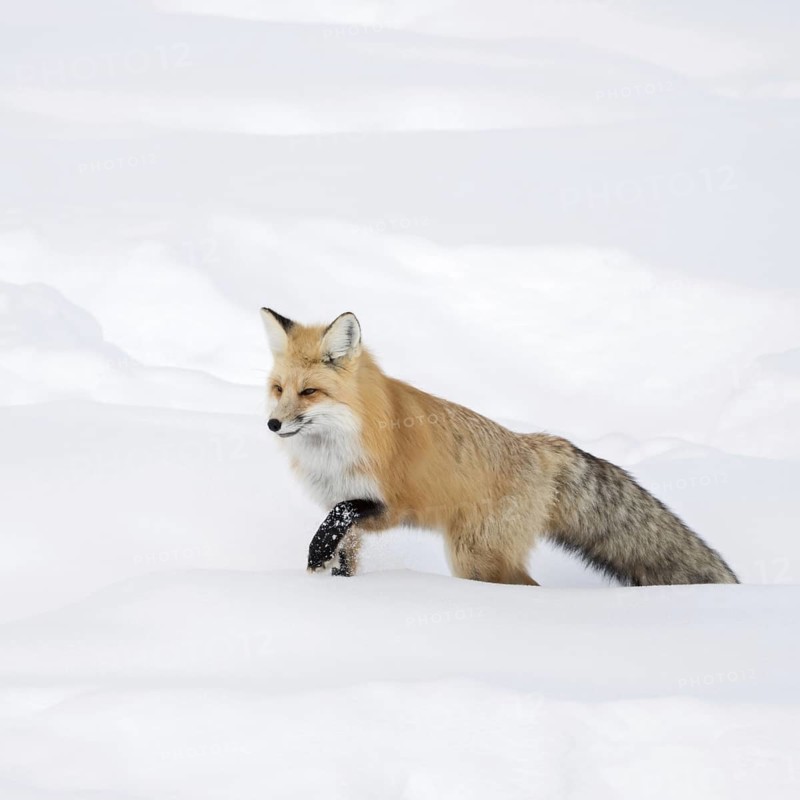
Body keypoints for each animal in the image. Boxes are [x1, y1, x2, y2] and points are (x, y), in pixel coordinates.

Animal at [261, 308, 739, 587]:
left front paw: (315, 556)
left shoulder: (388, 504)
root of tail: (538, 444)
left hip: (475, 557)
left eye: (309, 393)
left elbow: (339, 518)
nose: (273, 424)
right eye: (279, 389)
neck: (335, 449)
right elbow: (341, 549)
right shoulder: (348, 513)